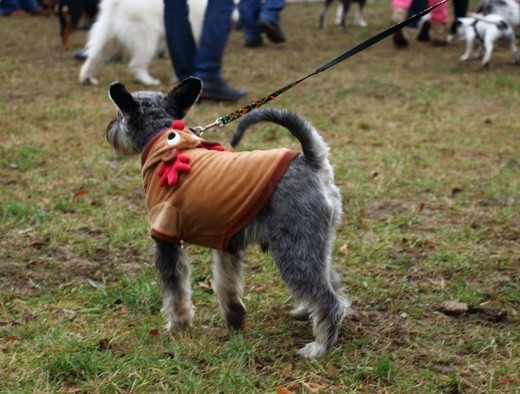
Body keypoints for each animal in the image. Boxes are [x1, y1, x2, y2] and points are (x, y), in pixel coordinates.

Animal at [105, 76, 352, 358]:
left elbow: (177, 291)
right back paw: (306, 311)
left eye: (118, 115)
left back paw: (319, 346)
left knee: (328, 299)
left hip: (293, 249)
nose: (109, 130)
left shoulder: (166, 236)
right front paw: (234, 316)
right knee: (331, 280)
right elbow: (226, 281)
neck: (164, 139)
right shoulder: (227, 237)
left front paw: (178, 326)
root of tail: (312, 161)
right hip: (315, 244)